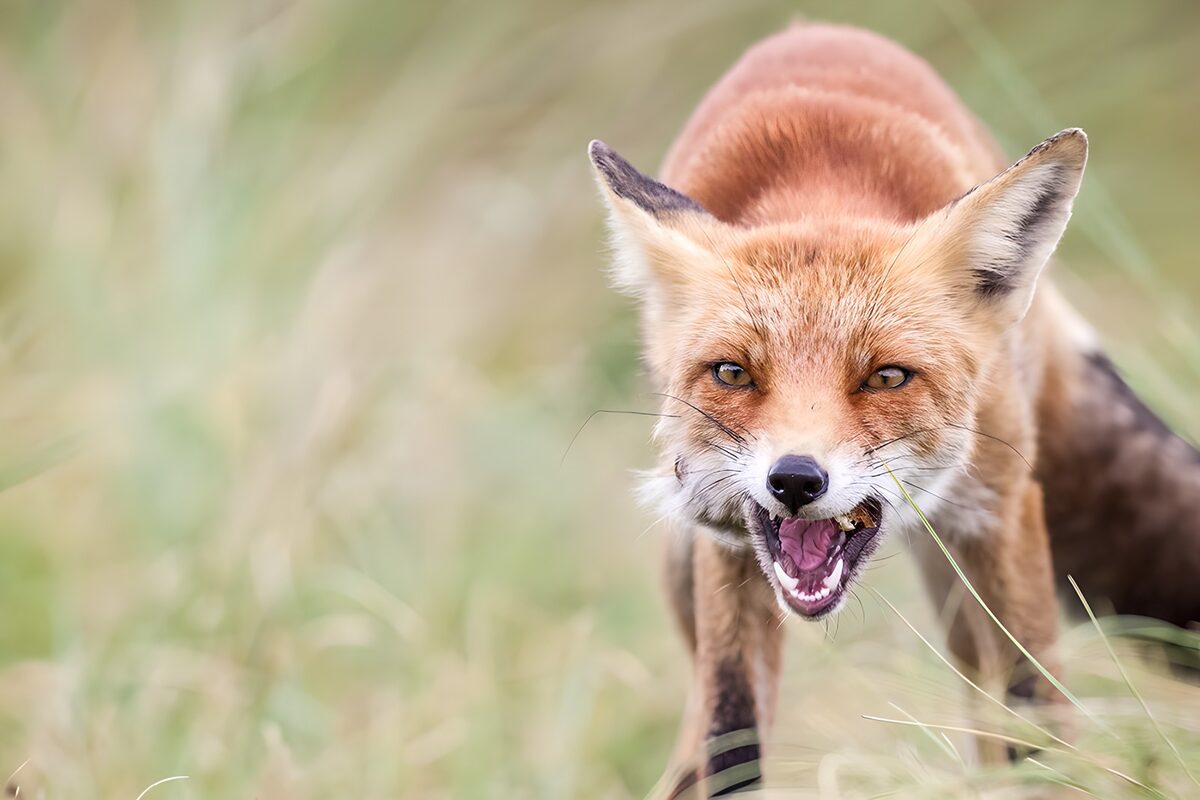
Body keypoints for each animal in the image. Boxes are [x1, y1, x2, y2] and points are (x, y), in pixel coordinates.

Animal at [586, 22, 1200, 798]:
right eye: (732, 372)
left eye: (887, 376)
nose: (794, 480)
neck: (821, 181)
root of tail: (817, 29)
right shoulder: (724, 543)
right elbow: (730, 733)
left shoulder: (1002, 511)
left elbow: (1036, 716)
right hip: (686, 554)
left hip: (961, 564)